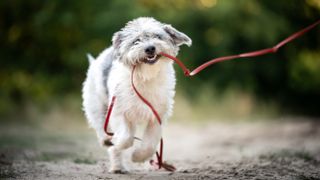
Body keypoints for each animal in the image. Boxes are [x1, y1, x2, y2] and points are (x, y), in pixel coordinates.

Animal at [82, 17, 191, 173]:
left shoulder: (157, 116)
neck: (145, 77)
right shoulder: (118, 112)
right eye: (136, 41)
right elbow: (125, 138)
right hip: (97, 106)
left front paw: (138, 157)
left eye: (157, 36)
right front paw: (117, 143)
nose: (150, 48)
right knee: (101, 126)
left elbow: (150, 144)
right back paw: (111, 150)